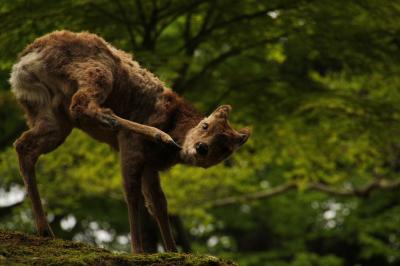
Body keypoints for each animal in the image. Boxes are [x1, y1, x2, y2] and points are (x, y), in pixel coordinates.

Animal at [8, 30, 250, 252]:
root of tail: (22, 63)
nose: (200, 148)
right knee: (81, 105)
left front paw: (173, 250)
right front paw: (138, 249)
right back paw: (157, 134)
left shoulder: (151, 167)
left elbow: (159, 203)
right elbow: (132, 194)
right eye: (205, 125)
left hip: (48, 113)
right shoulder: (132, 147)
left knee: (24, 145)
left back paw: (45, 230)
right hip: (96, 70)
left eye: (225, 148)